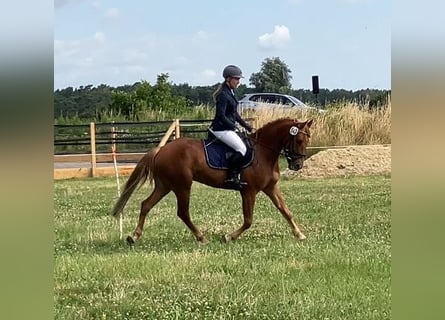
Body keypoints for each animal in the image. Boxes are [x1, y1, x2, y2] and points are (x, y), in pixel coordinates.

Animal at [111, 117, 312, 242]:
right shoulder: (249, 191)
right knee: (182, 212)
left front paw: (300, 234)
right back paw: (201, 237)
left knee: (146, 204)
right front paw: (228, 237)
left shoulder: (270, 188)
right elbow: (248, 220)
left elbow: (286, 211)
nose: (297, 165)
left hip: (165, 185)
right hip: (183, 185)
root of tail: (161, 149)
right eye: (299, 141)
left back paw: (134, 236)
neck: (263, 152)